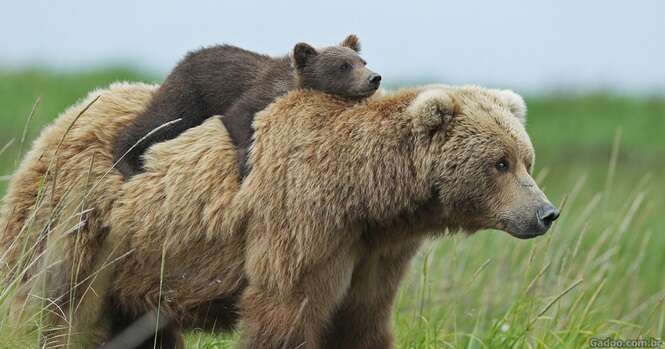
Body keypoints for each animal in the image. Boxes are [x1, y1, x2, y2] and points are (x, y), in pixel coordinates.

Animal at [0, 83, 556, 346]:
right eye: (500, 162)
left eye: (526, 158)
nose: (546, 212)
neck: (367, 197)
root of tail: (64, 118)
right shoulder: (301, 221)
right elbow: (285, 310)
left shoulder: (374, 252)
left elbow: (361, 323)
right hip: (76, 222)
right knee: (49, 307)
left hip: (136, 263)